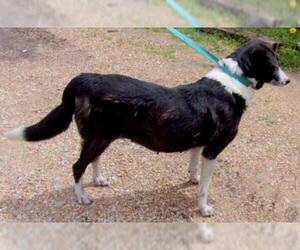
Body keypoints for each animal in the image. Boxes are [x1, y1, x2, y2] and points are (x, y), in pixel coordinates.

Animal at [5, 40, 290, 216]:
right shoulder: (213, 149)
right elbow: (205, 189)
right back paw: (82, 197)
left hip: (100, 137)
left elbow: (193, 165)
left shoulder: (200, 144)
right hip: (98, 137)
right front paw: (203, 208)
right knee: (77, 166)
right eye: (273, 66)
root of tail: (82, 79)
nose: (287, 81)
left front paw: (193, 178)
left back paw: (97, 180)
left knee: (91, 160)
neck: (234, 80)